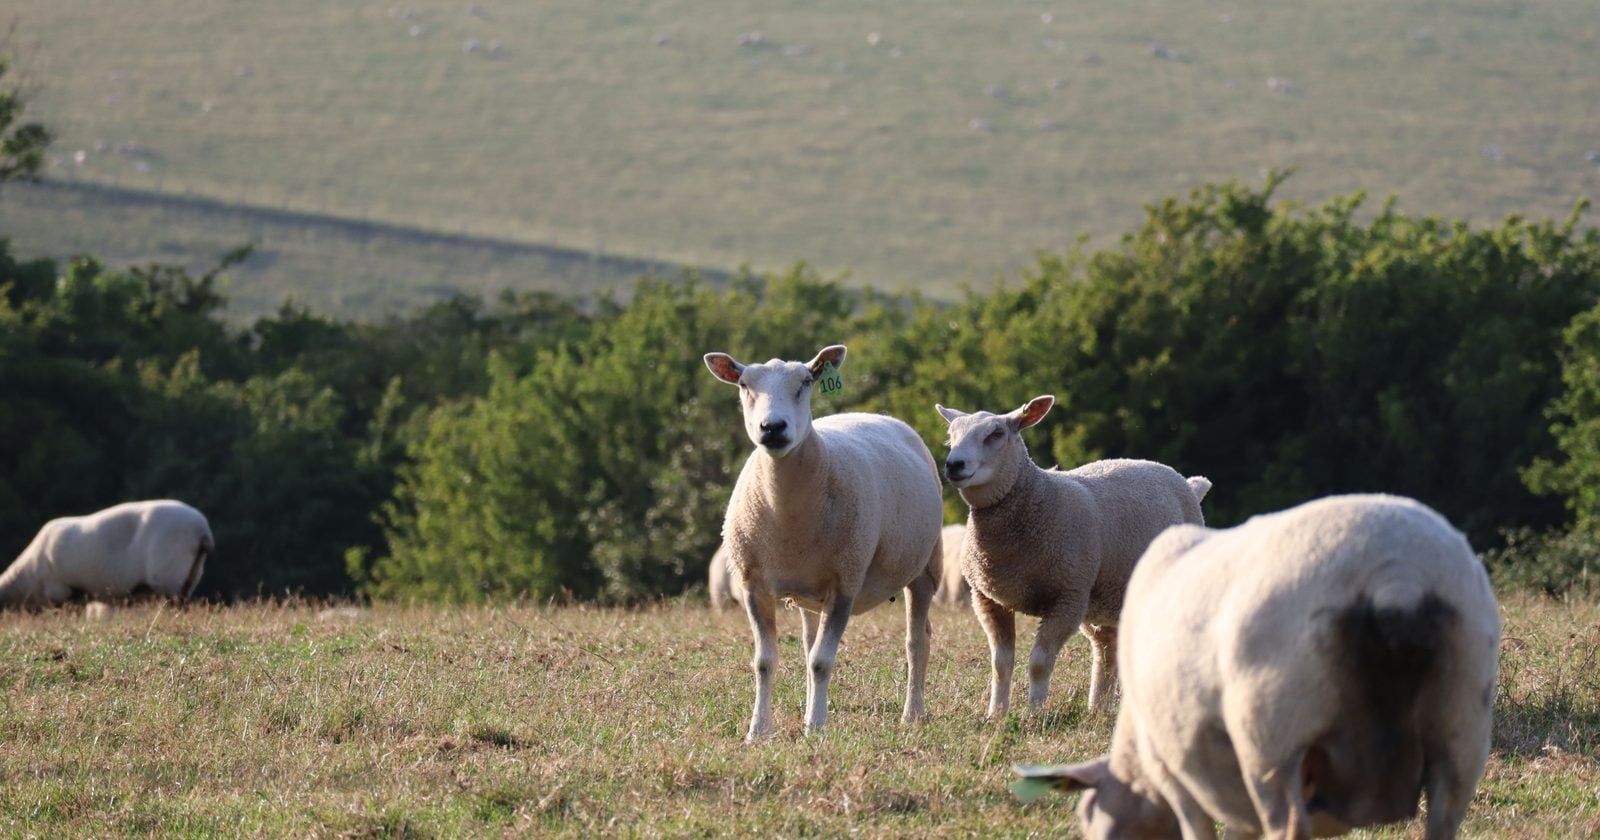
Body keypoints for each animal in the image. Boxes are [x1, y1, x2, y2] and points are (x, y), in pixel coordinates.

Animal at [705, 344, 944, 740]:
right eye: (743, 384)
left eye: (806, 382)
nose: (772, 427)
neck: (786, 511)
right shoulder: (753, 585)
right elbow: (765, 662)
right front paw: (758, 731)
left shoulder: (844, 583)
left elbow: (820, 661)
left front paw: (816, 728)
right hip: (807, 592)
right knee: (807, 643)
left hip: (925, 567)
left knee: (917, 641)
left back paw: (911, 713)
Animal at [935, 395, 1209, 717]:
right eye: (951, 435)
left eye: (996, 434)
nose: (954, 465)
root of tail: (1188, 483)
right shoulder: (988, 599)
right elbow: (1000, 664)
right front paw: (996, 715)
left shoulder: (1067, 597)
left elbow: (1039, 663)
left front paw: (1034, 714)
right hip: (1104, 599)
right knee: (1106, 649)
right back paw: (1097, 708)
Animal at [1012, 493, 1500, 840]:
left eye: (1088, 814)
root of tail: (1394, 575)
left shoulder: (1178, 769)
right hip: (1462, 722)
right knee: (1444, 820)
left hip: (1271, 731)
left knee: (1289, 827)